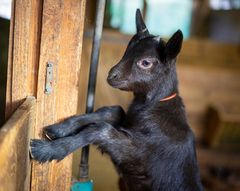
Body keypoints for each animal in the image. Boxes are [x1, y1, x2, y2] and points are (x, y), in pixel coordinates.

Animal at [29, 9, 202, 191]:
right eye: (127, 49)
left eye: (146, 62)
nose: (112, 75)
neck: (153, 105)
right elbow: (113, 111)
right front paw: (60, 128)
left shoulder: (140, 155)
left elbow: (101, 130)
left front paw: (45, 149)